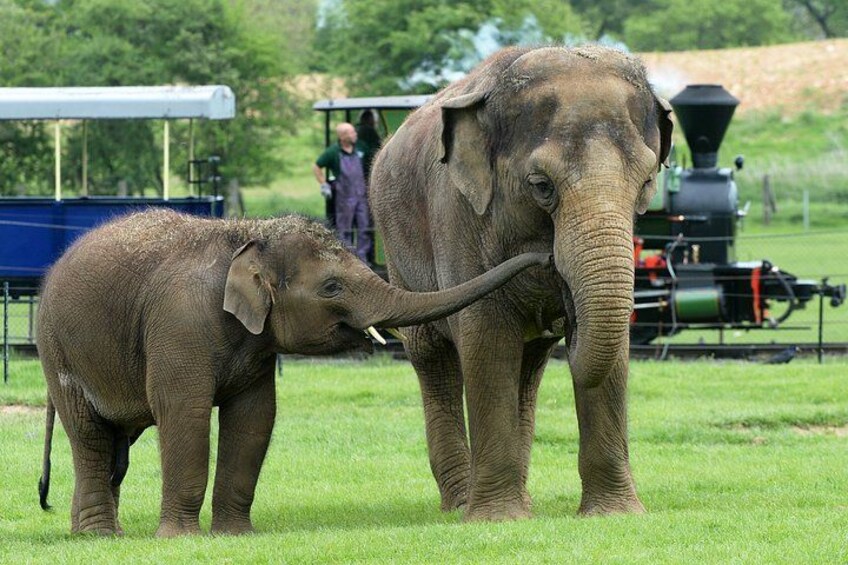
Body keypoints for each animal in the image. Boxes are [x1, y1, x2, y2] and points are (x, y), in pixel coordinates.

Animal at [35, 209, 551, 536]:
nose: (546, 258)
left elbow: (254, 418)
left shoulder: (256, 344)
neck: (245, 236)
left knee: (115, 446)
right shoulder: (179, 322)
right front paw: (180, 539)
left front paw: (234, 536)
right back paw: (100, 537)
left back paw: (94, 532)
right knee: (90, 436)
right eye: (332, 286)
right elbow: (184, 414)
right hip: (57, 352)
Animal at [369, 45, 673, 521]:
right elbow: (487, 340)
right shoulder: (459, 215)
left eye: (646, 183)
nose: (546, 261)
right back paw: (461, 503)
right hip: (397, 250)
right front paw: (496, 519)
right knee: (433, 360)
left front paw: (616, 515)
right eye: (541, 185)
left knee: (529, 369)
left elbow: (611, 350)